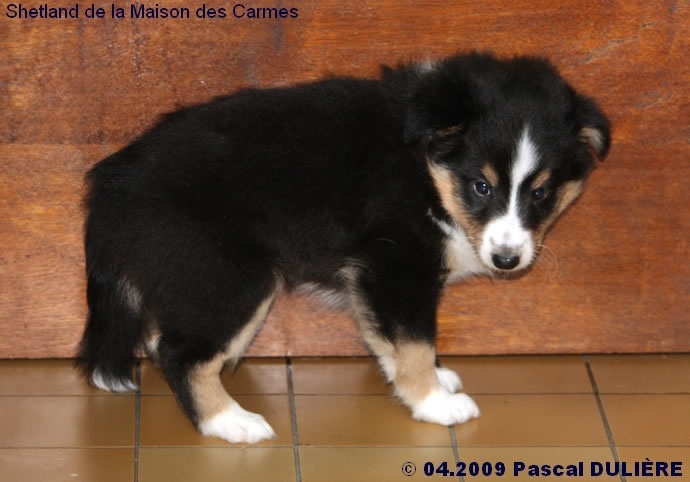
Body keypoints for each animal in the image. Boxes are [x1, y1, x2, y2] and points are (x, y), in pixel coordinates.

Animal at [78, 52, 610, 443]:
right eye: (482, 186)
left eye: (541, 193)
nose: (507, 260)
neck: (424, 169)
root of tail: (111, 188)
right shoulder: (396, 265)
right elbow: (415, 341)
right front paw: (433, 402)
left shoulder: (379, 278)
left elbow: (391, 337)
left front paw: (425, 382)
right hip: (231, 278)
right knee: (181, 354)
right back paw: (229, 422)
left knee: (161, 340)